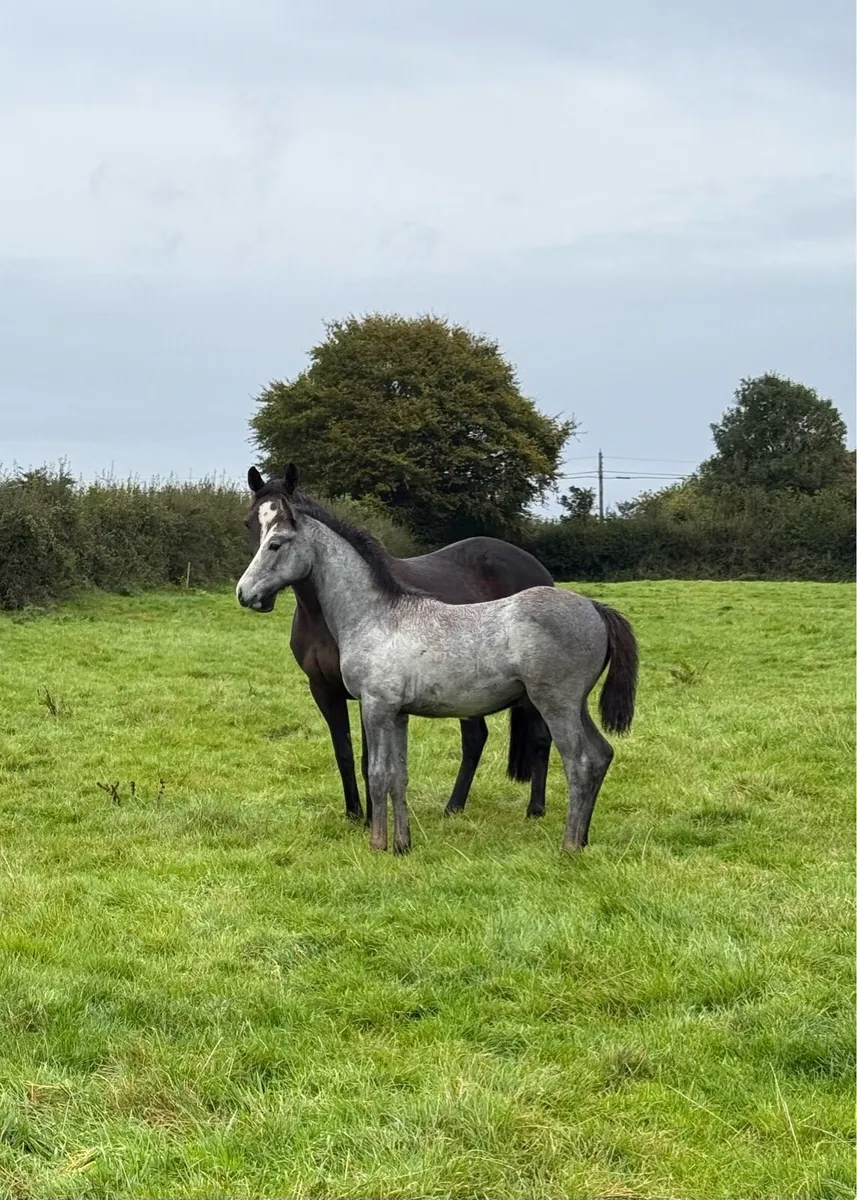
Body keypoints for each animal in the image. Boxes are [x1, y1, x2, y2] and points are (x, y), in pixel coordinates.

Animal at [237, 465, 638, 854]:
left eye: (275, 543)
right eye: (251, 526)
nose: (244, 593)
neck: (378, 615)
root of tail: (595, 608)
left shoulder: (375, 707)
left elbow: (377, 772)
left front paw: (377, 843)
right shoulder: (397, 713)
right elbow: (398, 775)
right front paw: (402, 844)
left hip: (555, 704)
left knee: (579, 762)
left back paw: (567, 845)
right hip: (576, 706)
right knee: (600, 755)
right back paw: (582, 840)